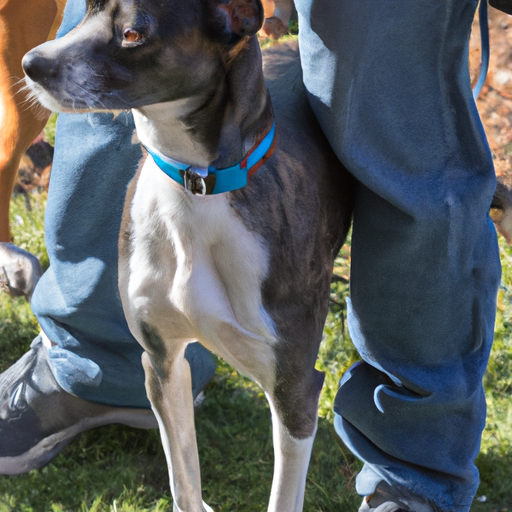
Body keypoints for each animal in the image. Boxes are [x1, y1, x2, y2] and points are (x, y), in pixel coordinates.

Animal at [23, 1, 352, 508]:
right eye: (86, 11)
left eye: (133, 33)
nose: (30, 64)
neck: (194, 190)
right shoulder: (160, 363)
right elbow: (184, 480)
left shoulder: (295, 389)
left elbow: (283, 494)